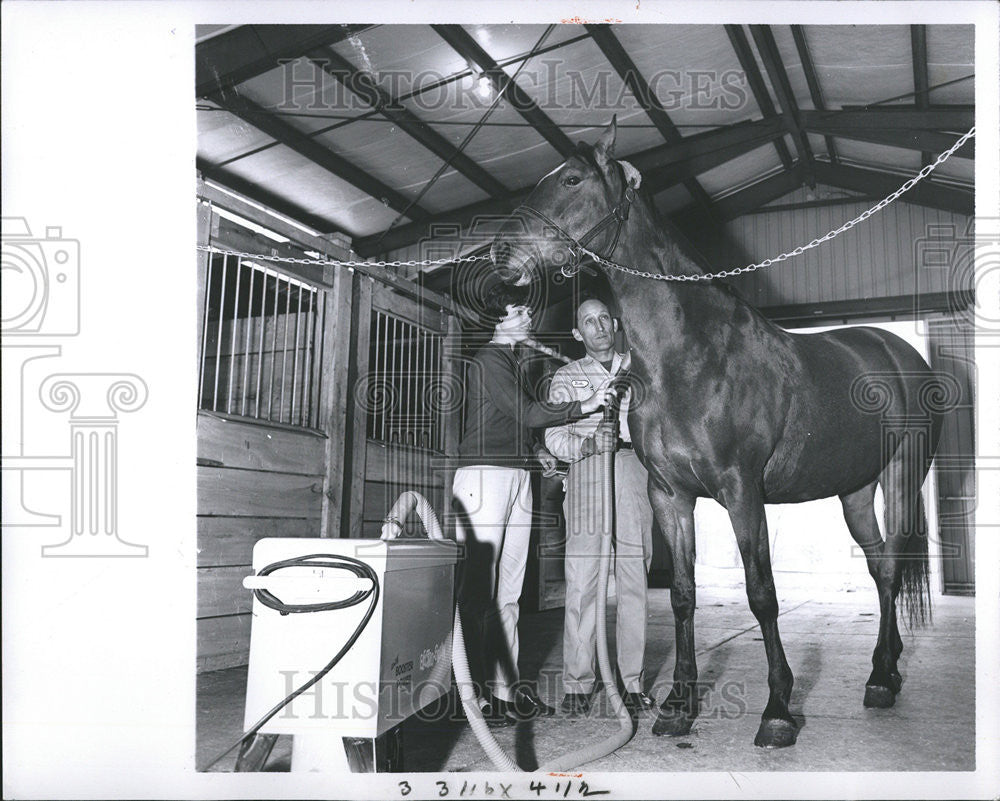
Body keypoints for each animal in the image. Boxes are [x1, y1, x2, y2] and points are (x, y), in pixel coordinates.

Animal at [492, 120, 944, 752]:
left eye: (573, 179)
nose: (500, 252)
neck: (692, 355)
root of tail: (898, 350)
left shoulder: (741, 491)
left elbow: (762, 594)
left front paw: (777, 711)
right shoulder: (670, 496)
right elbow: (683, 596)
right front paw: (678, 706)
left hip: (902, 478)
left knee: (893, 566)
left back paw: (881, 677)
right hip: (855, 490)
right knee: (880, 567)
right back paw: (884, 673)